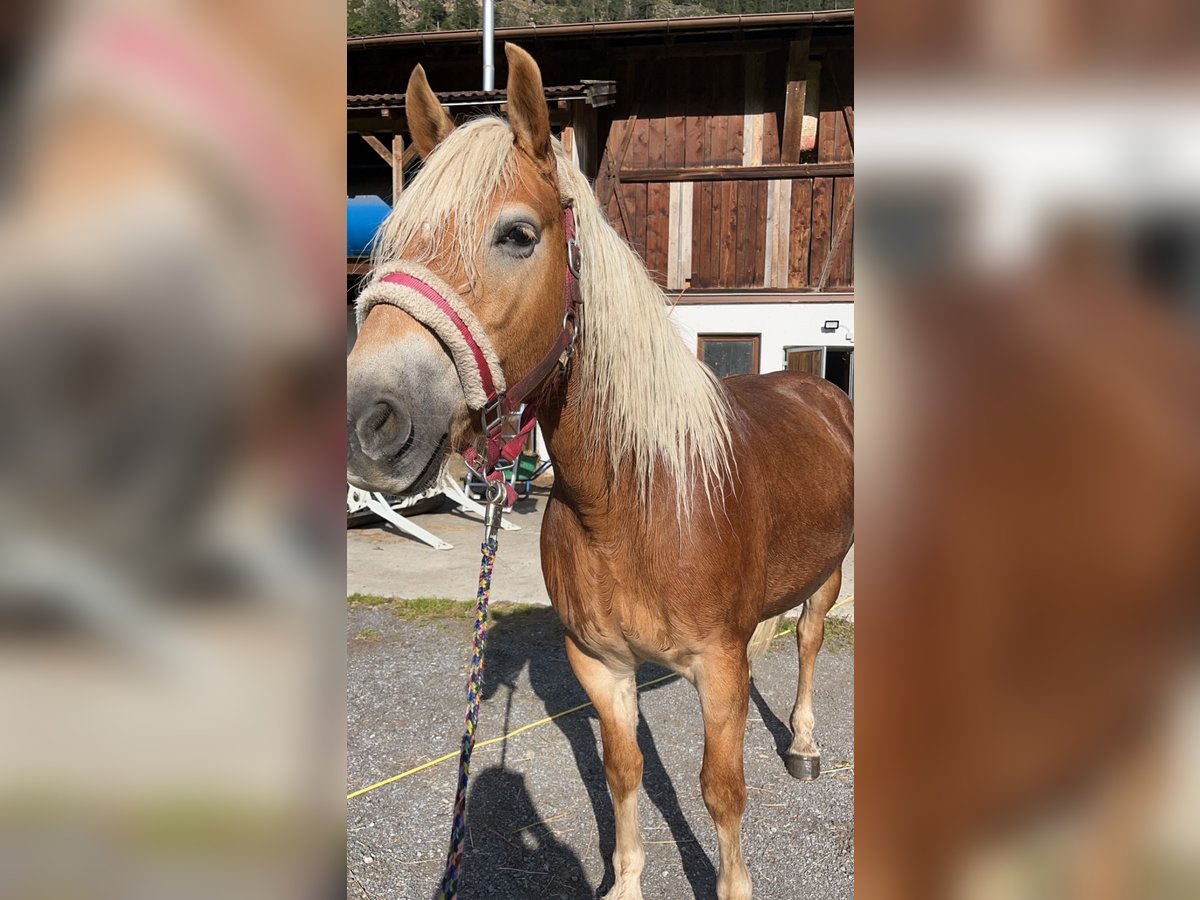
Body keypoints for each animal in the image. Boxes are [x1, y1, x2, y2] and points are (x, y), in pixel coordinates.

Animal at [345, 45, 854, 897]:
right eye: (390, 240)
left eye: (518, 234)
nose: (368, 419)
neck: (635, 505)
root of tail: (814, 386)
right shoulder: (602, 668)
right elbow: (623, 773)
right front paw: (624, 882)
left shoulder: (716, 669)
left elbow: (721, 790)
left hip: (830, 573)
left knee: (812, 640)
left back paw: (806, 745)